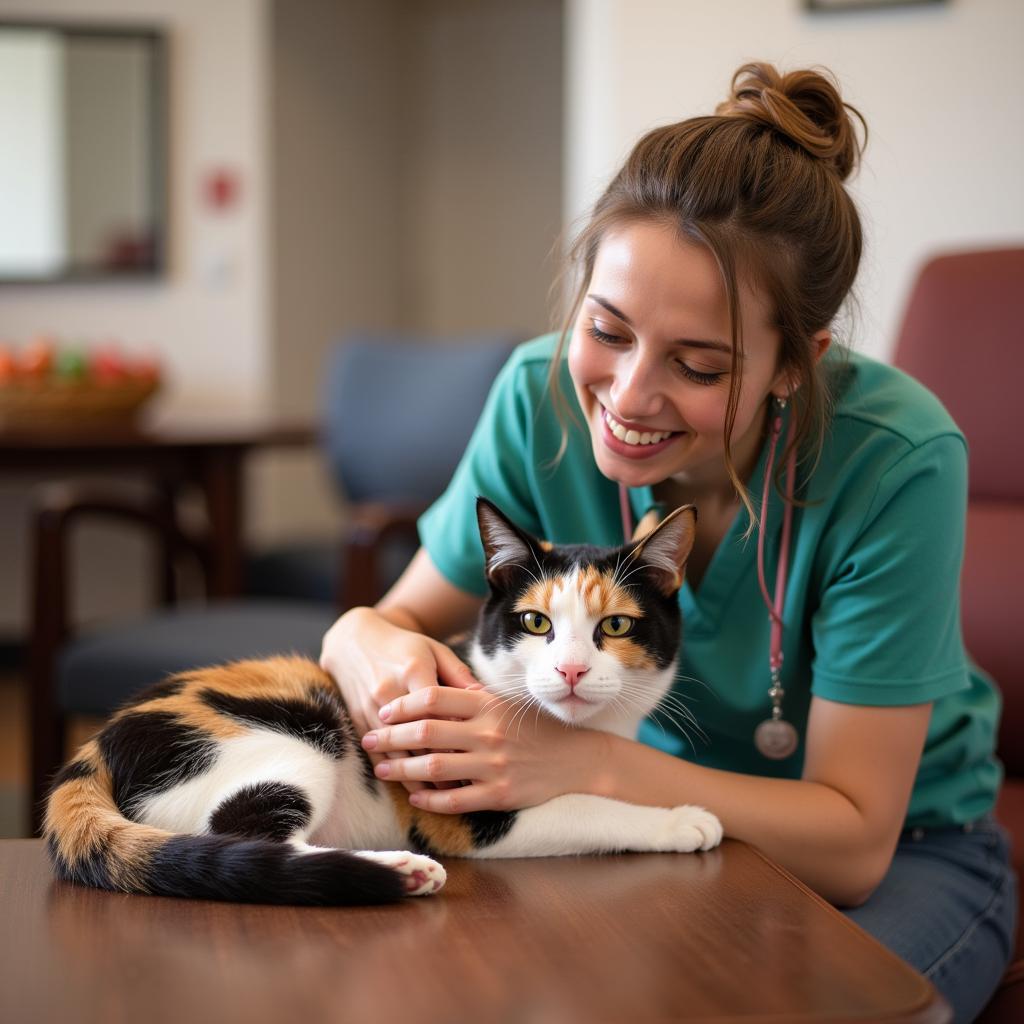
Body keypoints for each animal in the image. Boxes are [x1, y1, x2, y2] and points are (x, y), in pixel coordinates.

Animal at [46, 495, 720, 905]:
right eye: (535, 623)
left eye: (616, 626)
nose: (572, 669)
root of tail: (95, 748)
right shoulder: (466, 812)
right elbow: (587, 804)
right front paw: (681, 819)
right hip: (296, 735)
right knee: (245, 836)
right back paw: (397, 870)